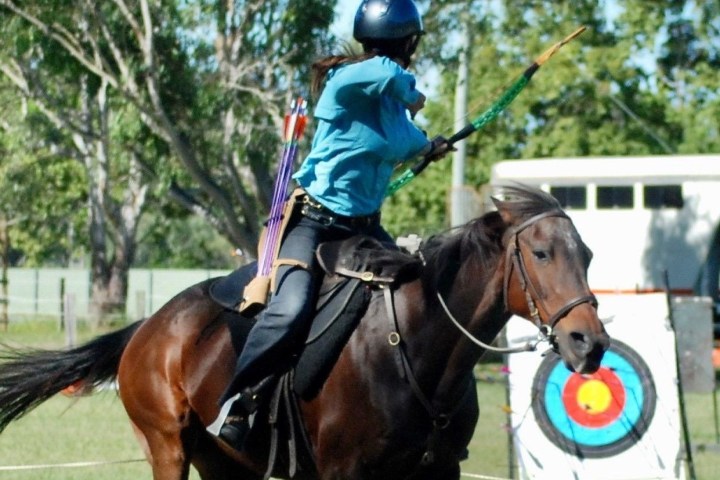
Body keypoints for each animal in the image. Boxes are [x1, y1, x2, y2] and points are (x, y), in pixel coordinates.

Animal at [0, 185, 609, 480]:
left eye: (587, 254)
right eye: (541, 253)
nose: (590, 343)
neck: (412, 349)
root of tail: (147, 329)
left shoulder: (439, 472)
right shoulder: (344, 473)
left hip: (224, 462)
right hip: (167, 447)